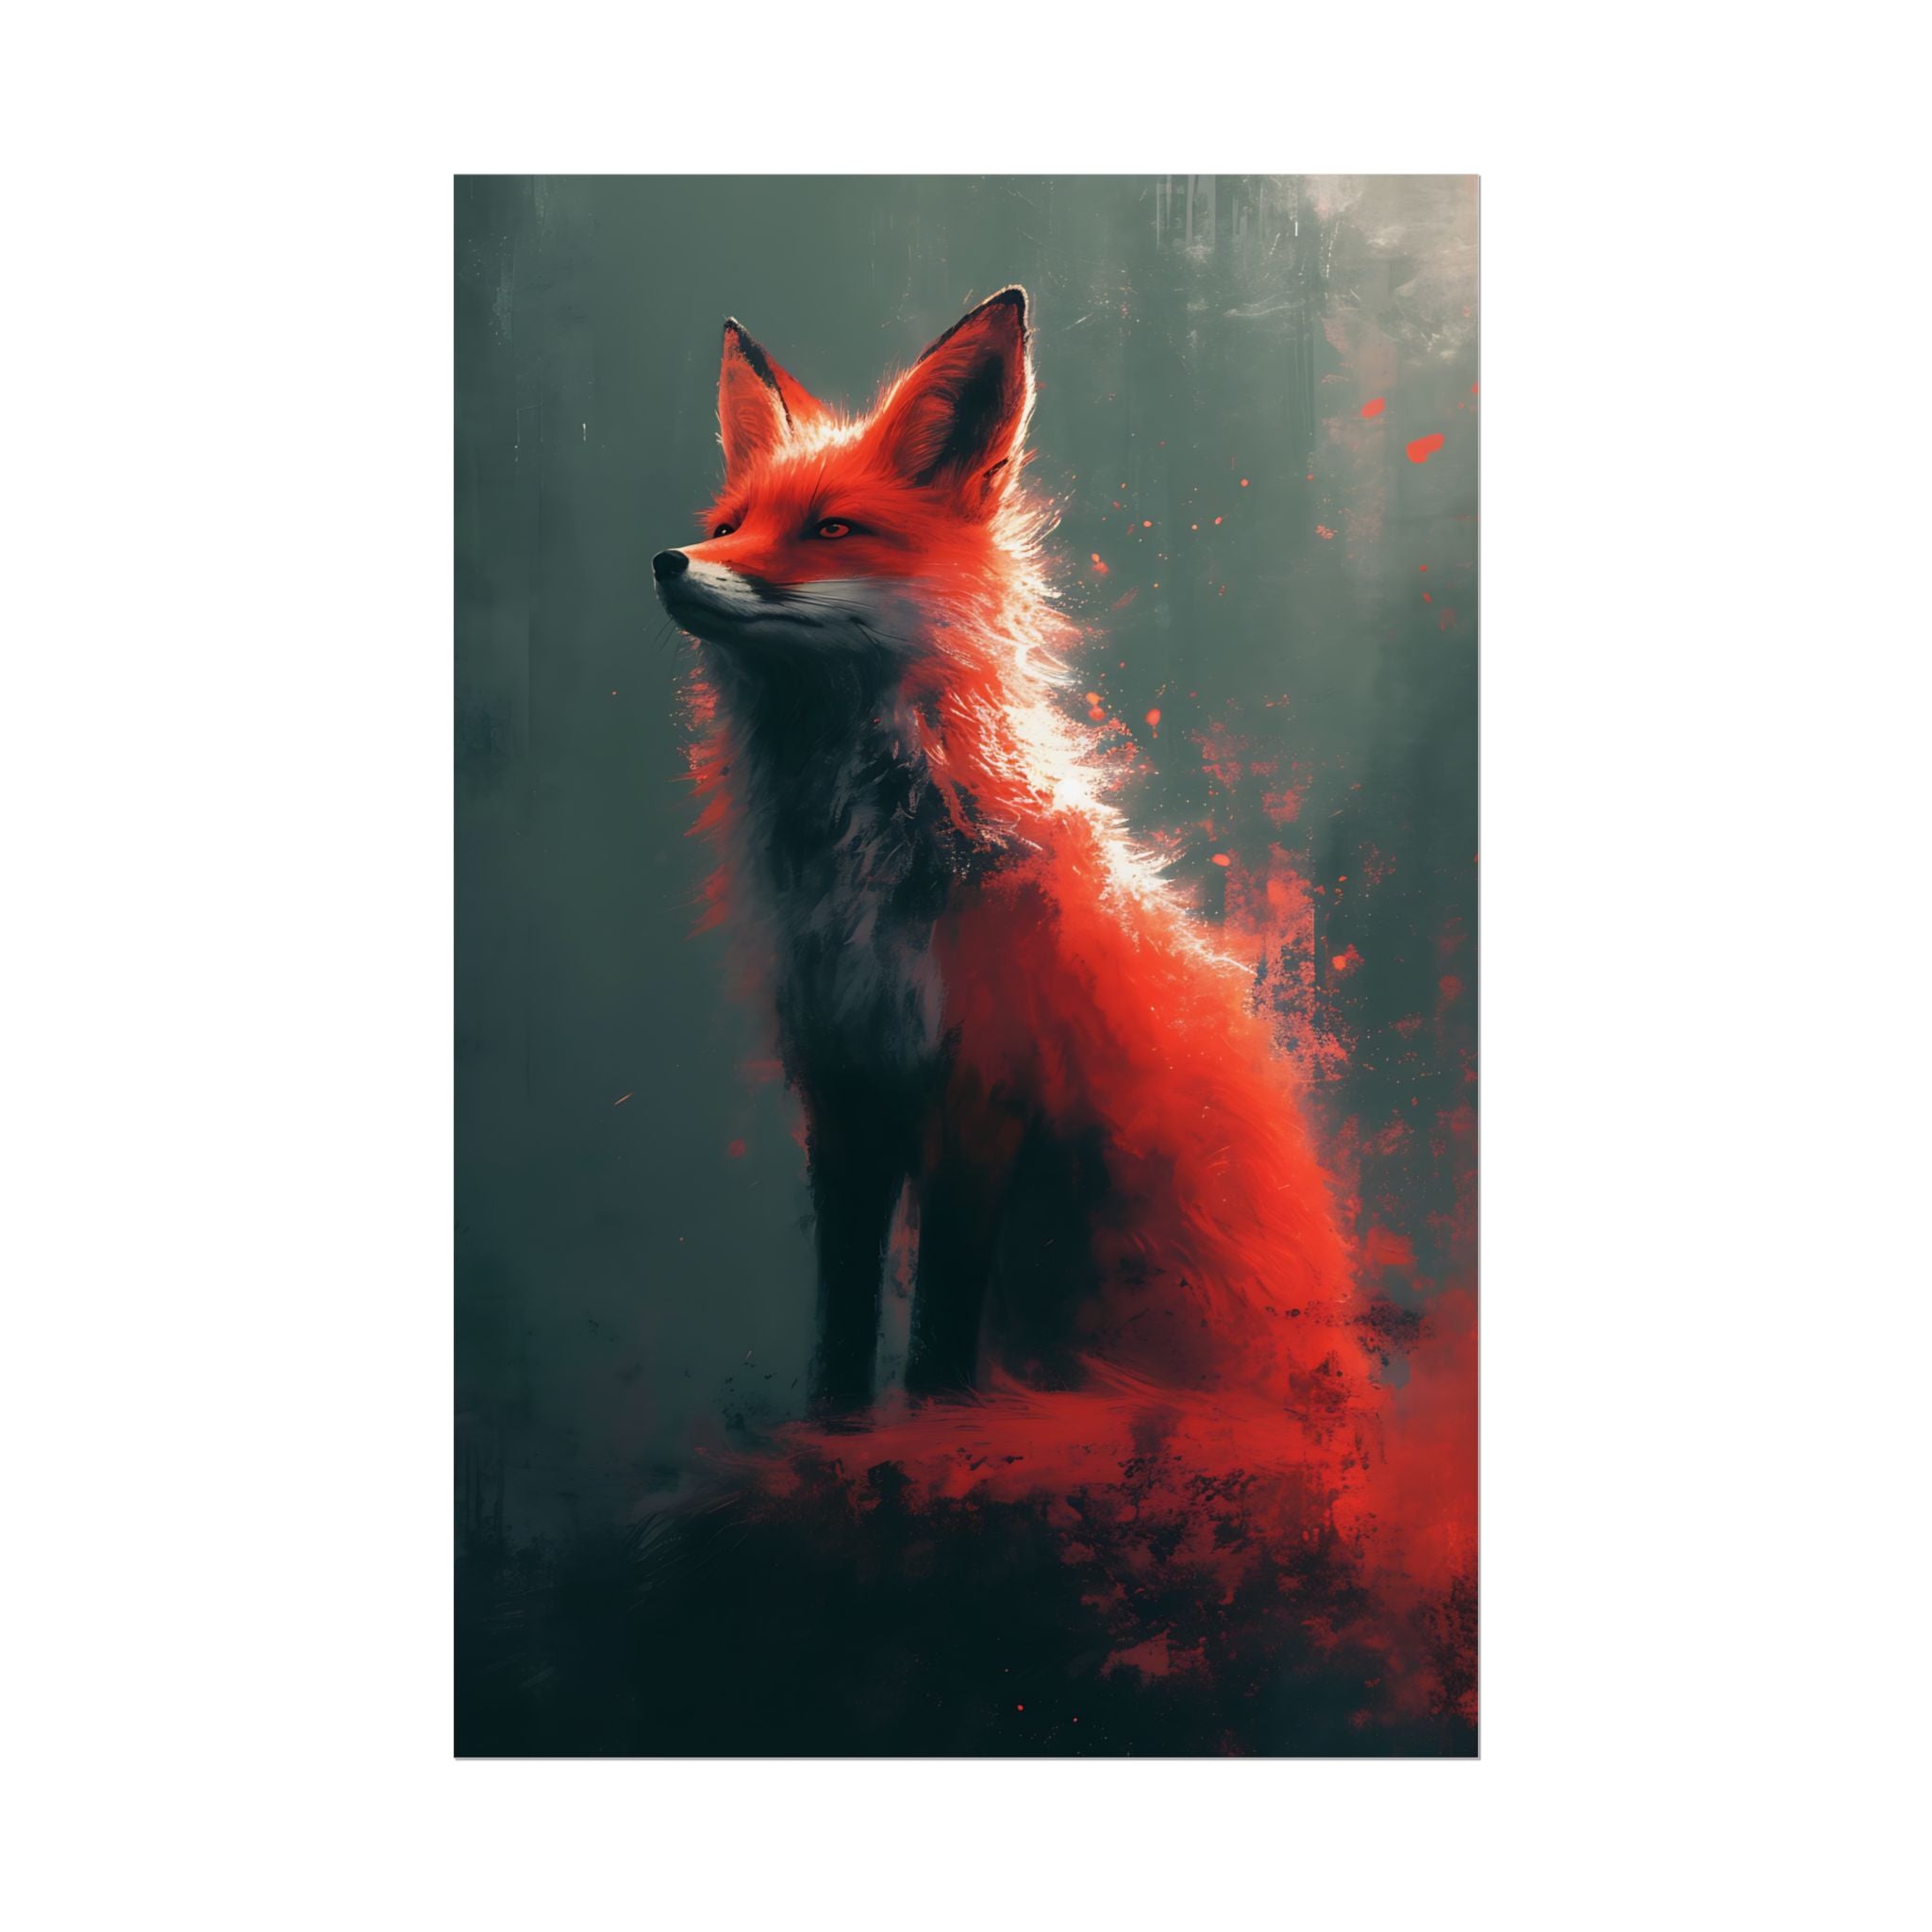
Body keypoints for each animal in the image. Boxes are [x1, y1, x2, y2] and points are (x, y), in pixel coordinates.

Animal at [653, 286, 1377, 1447]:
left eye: (831, 529)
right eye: (729, 526)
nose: (670, 562)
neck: (867, 871)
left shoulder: (982, 1086)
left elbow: (939, 1334)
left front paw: (931, 1433)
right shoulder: (843, 1088)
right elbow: (843, 1315)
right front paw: (833, 1436)